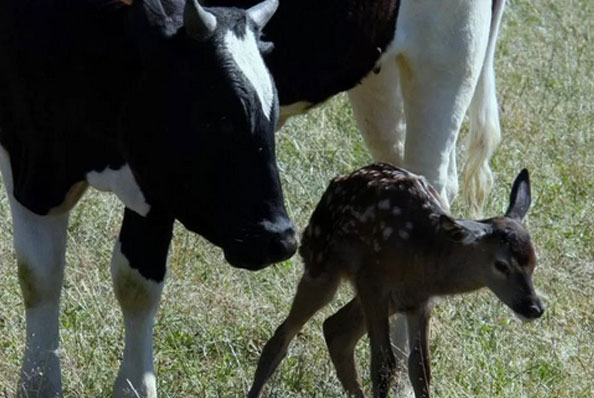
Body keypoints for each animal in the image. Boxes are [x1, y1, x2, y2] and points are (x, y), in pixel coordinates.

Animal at [0, 0, 292, 394]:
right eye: (216, 117)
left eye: (273, 112)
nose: (280, 238)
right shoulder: (31, 164)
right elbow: (40, 277)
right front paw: (40, 386)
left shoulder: (157, 186)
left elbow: (137, 284)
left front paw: (135, 387)